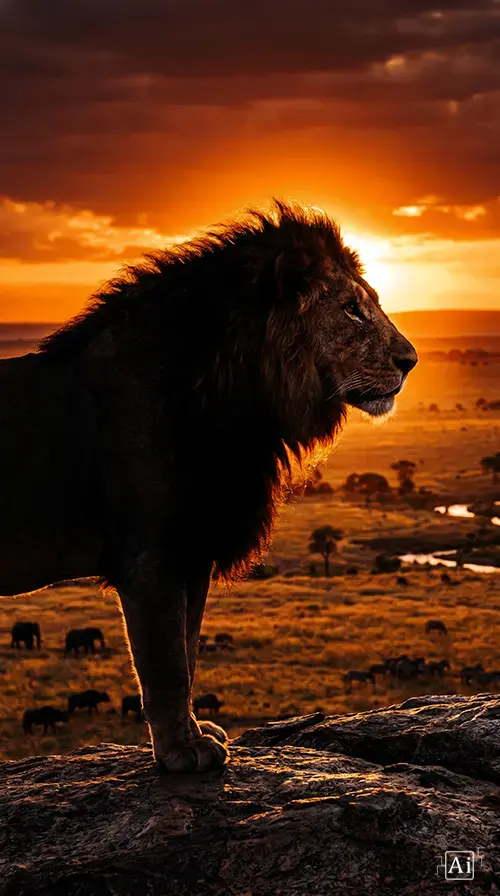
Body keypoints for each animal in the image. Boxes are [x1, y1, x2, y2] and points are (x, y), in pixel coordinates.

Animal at [0, 200, 417, 772]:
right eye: (352, 309)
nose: (411, 360)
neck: (238, 399)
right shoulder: (151, 557)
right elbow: (166, 664)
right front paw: (180, 752)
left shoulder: (194, 552)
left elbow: (190, 649)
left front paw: (195, 735)